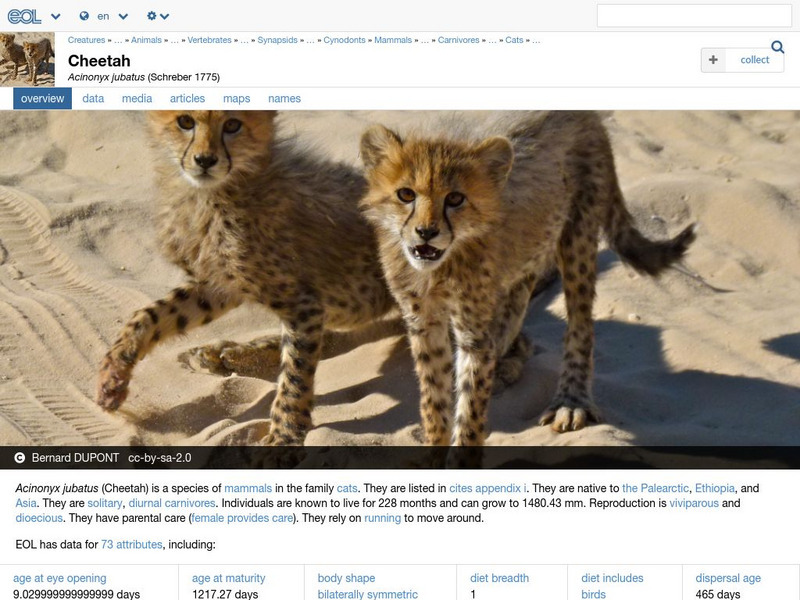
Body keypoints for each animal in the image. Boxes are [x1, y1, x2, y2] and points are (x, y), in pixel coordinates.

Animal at [96, 111, 396, 445]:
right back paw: (227, 354)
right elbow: (151, 314)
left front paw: (284, 433)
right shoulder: (220, 286)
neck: (212, 193)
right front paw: (113, 374)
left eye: (232, 125)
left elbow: (296, 372)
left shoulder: (302, 304)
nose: (205, 160)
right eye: (185, 122)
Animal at [360, 111, 695, 446]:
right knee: (519, 297)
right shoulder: (423, 322)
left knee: (580, 324)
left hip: (578, 235)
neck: (439, 268)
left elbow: (470, 408)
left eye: (455, 199)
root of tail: (589, 115)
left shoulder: (472, 330)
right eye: (406, 194)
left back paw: (570, 401)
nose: (426, 232)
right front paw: (435, 444)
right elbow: (434, 399)